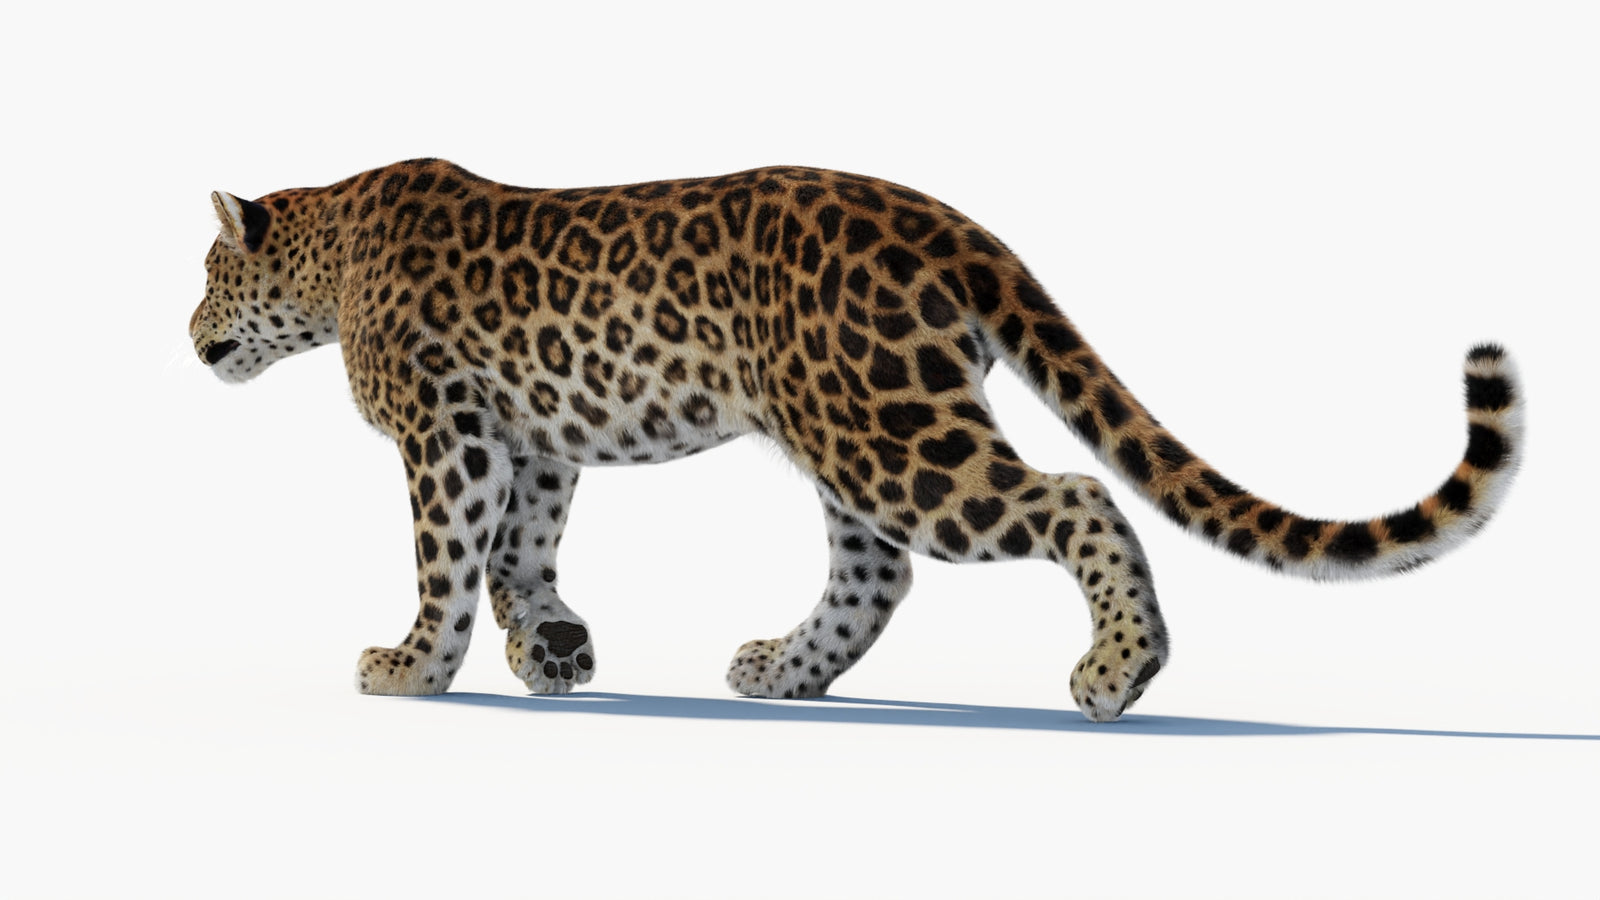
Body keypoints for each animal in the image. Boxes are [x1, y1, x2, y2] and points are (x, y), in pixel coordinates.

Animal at [190, 159, 1523, 721]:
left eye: (207, 271)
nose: (187, 330)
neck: (330, 251)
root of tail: (948, 221)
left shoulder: (443, 430)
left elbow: (445, 556)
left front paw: (412, 668)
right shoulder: (535, 434)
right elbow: (522, 551)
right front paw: (555, 649)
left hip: (891, 434)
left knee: (1073, 498)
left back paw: (1116, 672)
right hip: (856, 422)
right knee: (874, 573)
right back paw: (780, 672)